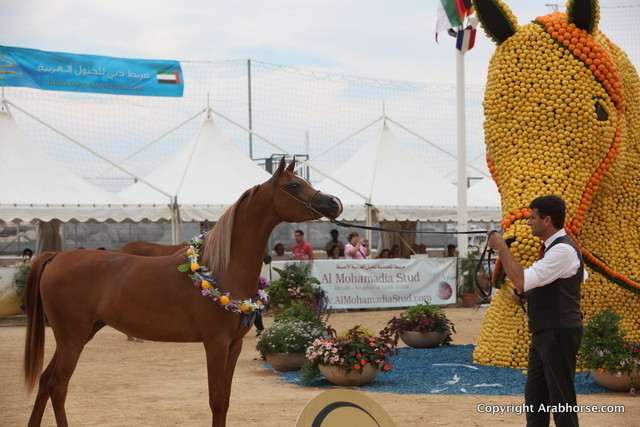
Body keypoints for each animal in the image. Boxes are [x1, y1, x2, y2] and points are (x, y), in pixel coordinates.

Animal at [23, 158, 343, 426]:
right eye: (294, 185)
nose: (335, 202)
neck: (222, 267)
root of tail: (57, 257)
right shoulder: (215, 344)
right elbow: (216, 401)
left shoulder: (234, 345)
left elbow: (226, 401)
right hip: (72, 337)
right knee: (58, 385)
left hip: (81, 334)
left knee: (46, 381)